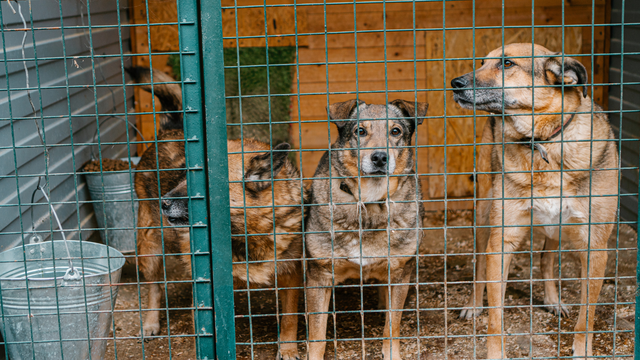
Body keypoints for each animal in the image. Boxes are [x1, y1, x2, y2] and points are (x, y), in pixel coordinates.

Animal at [129, 68, 304, 360]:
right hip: (150, 246)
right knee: (153, 286)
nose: (164, 202)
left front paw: (288, 349)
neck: (248, 231)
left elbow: (290, 318)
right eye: (183, 176)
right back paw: (151, 323)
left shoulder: (291, 274)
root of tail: (172, 129)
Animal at [304, 99, 424, 360]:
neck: (369, 203)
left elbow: (392, 326)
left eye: (395, 131)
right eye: (360, 131)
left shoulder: (400, 274)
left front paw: (391, 354)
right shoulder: (319, 276)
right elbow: (317, 334)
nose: (379, 157)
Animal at [450, 43, 620, 358]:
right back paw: (473, 304)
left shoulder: (595, 246)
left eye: (507, 63)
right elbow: (496, 316)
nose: (455, 84)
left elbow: (587, 315)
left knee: (546, 258)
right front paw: (495, 353)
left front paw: (582, 350)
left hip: (557, 227)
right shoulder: (501, 241)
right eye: (482, 62)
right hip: (483, 214)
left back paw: (553, 300)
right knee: (479, 266)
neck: (543, 141)